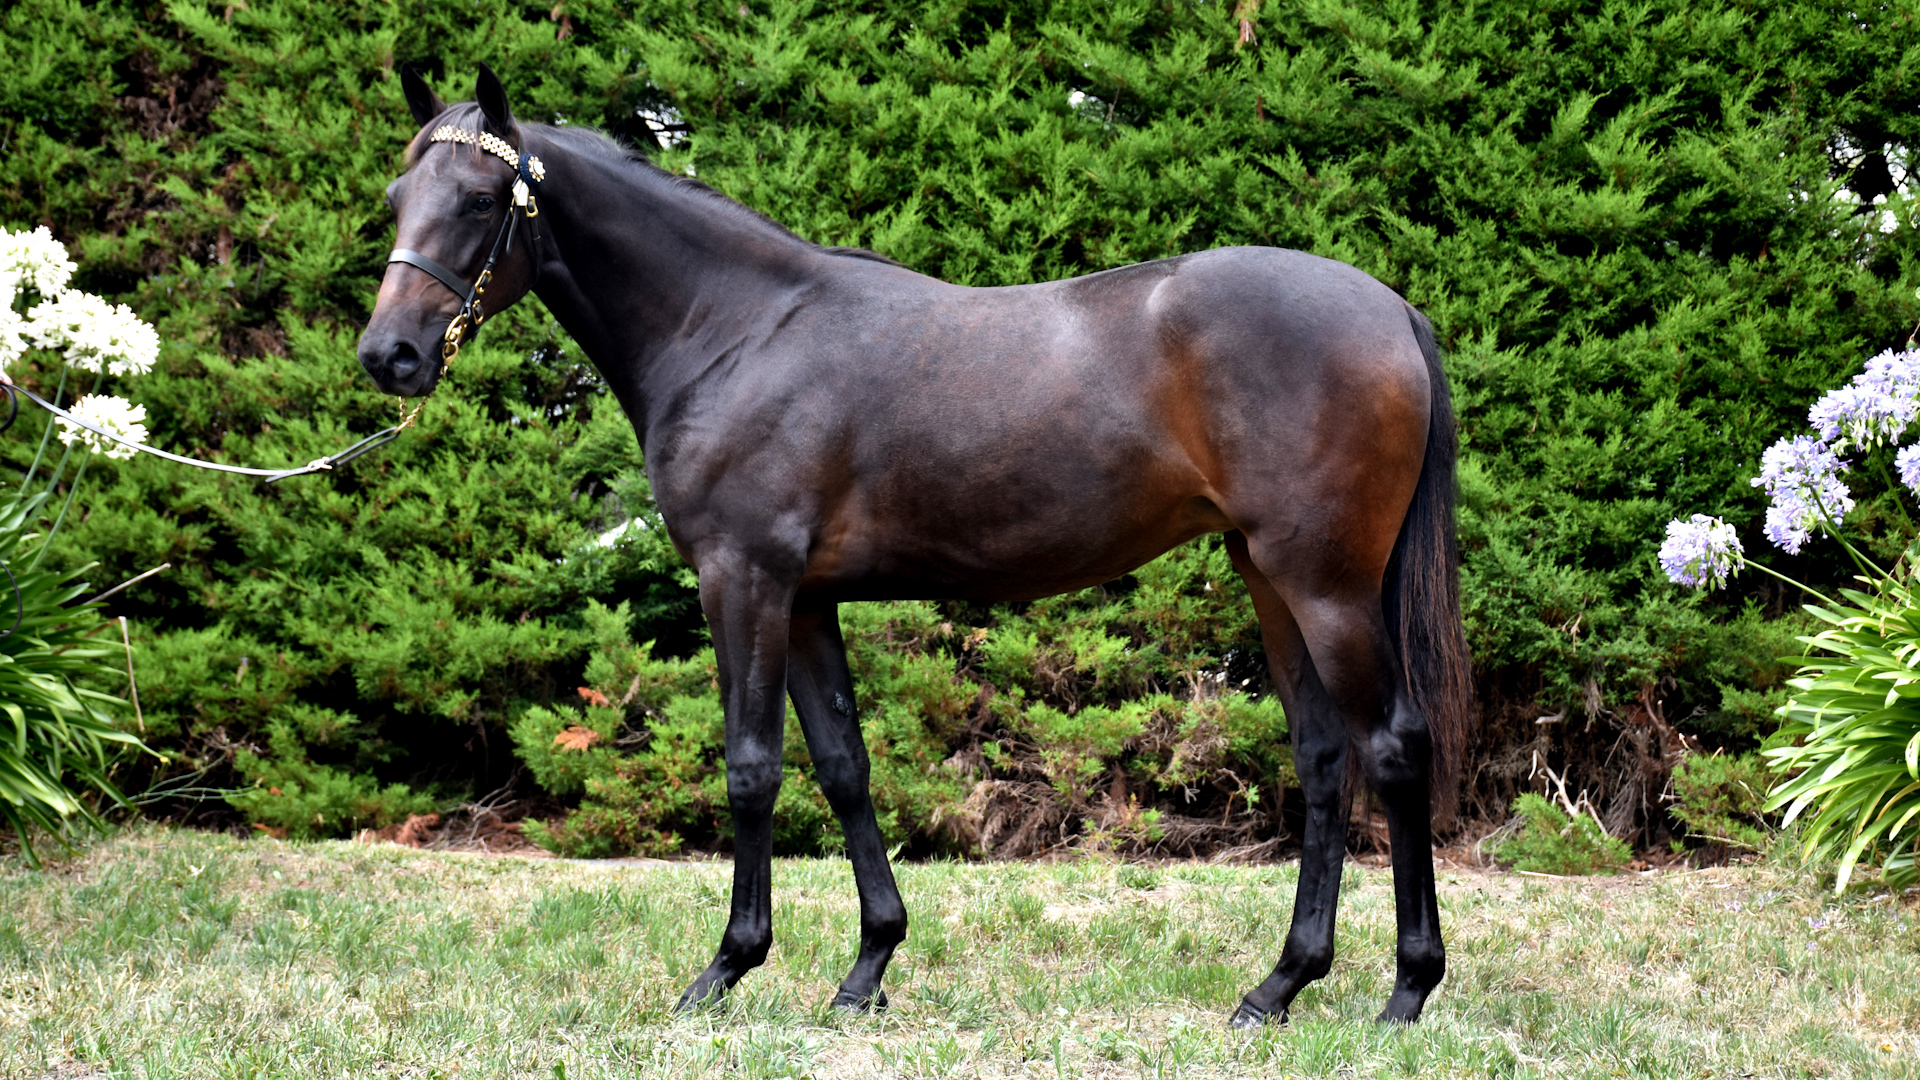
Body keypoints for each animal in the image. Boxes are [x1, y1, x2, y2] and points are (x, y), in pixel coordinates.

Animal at [357, 63, 1470, 1028]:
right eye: (397, 195)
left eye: (477, 199)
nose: (389, 356)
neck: (734, 328)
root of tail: (1392, 307)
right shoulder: (805, 597)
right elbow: (844, 766)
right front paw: (867, 969)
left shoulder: (743, 579)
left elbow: (752, 767)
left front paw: (724, 970)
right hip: (1268, 575)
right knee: (1323, 757)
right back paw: (1278, 987)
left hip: (1325, 584)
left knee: (1392, 746)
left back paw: (1406, 992)